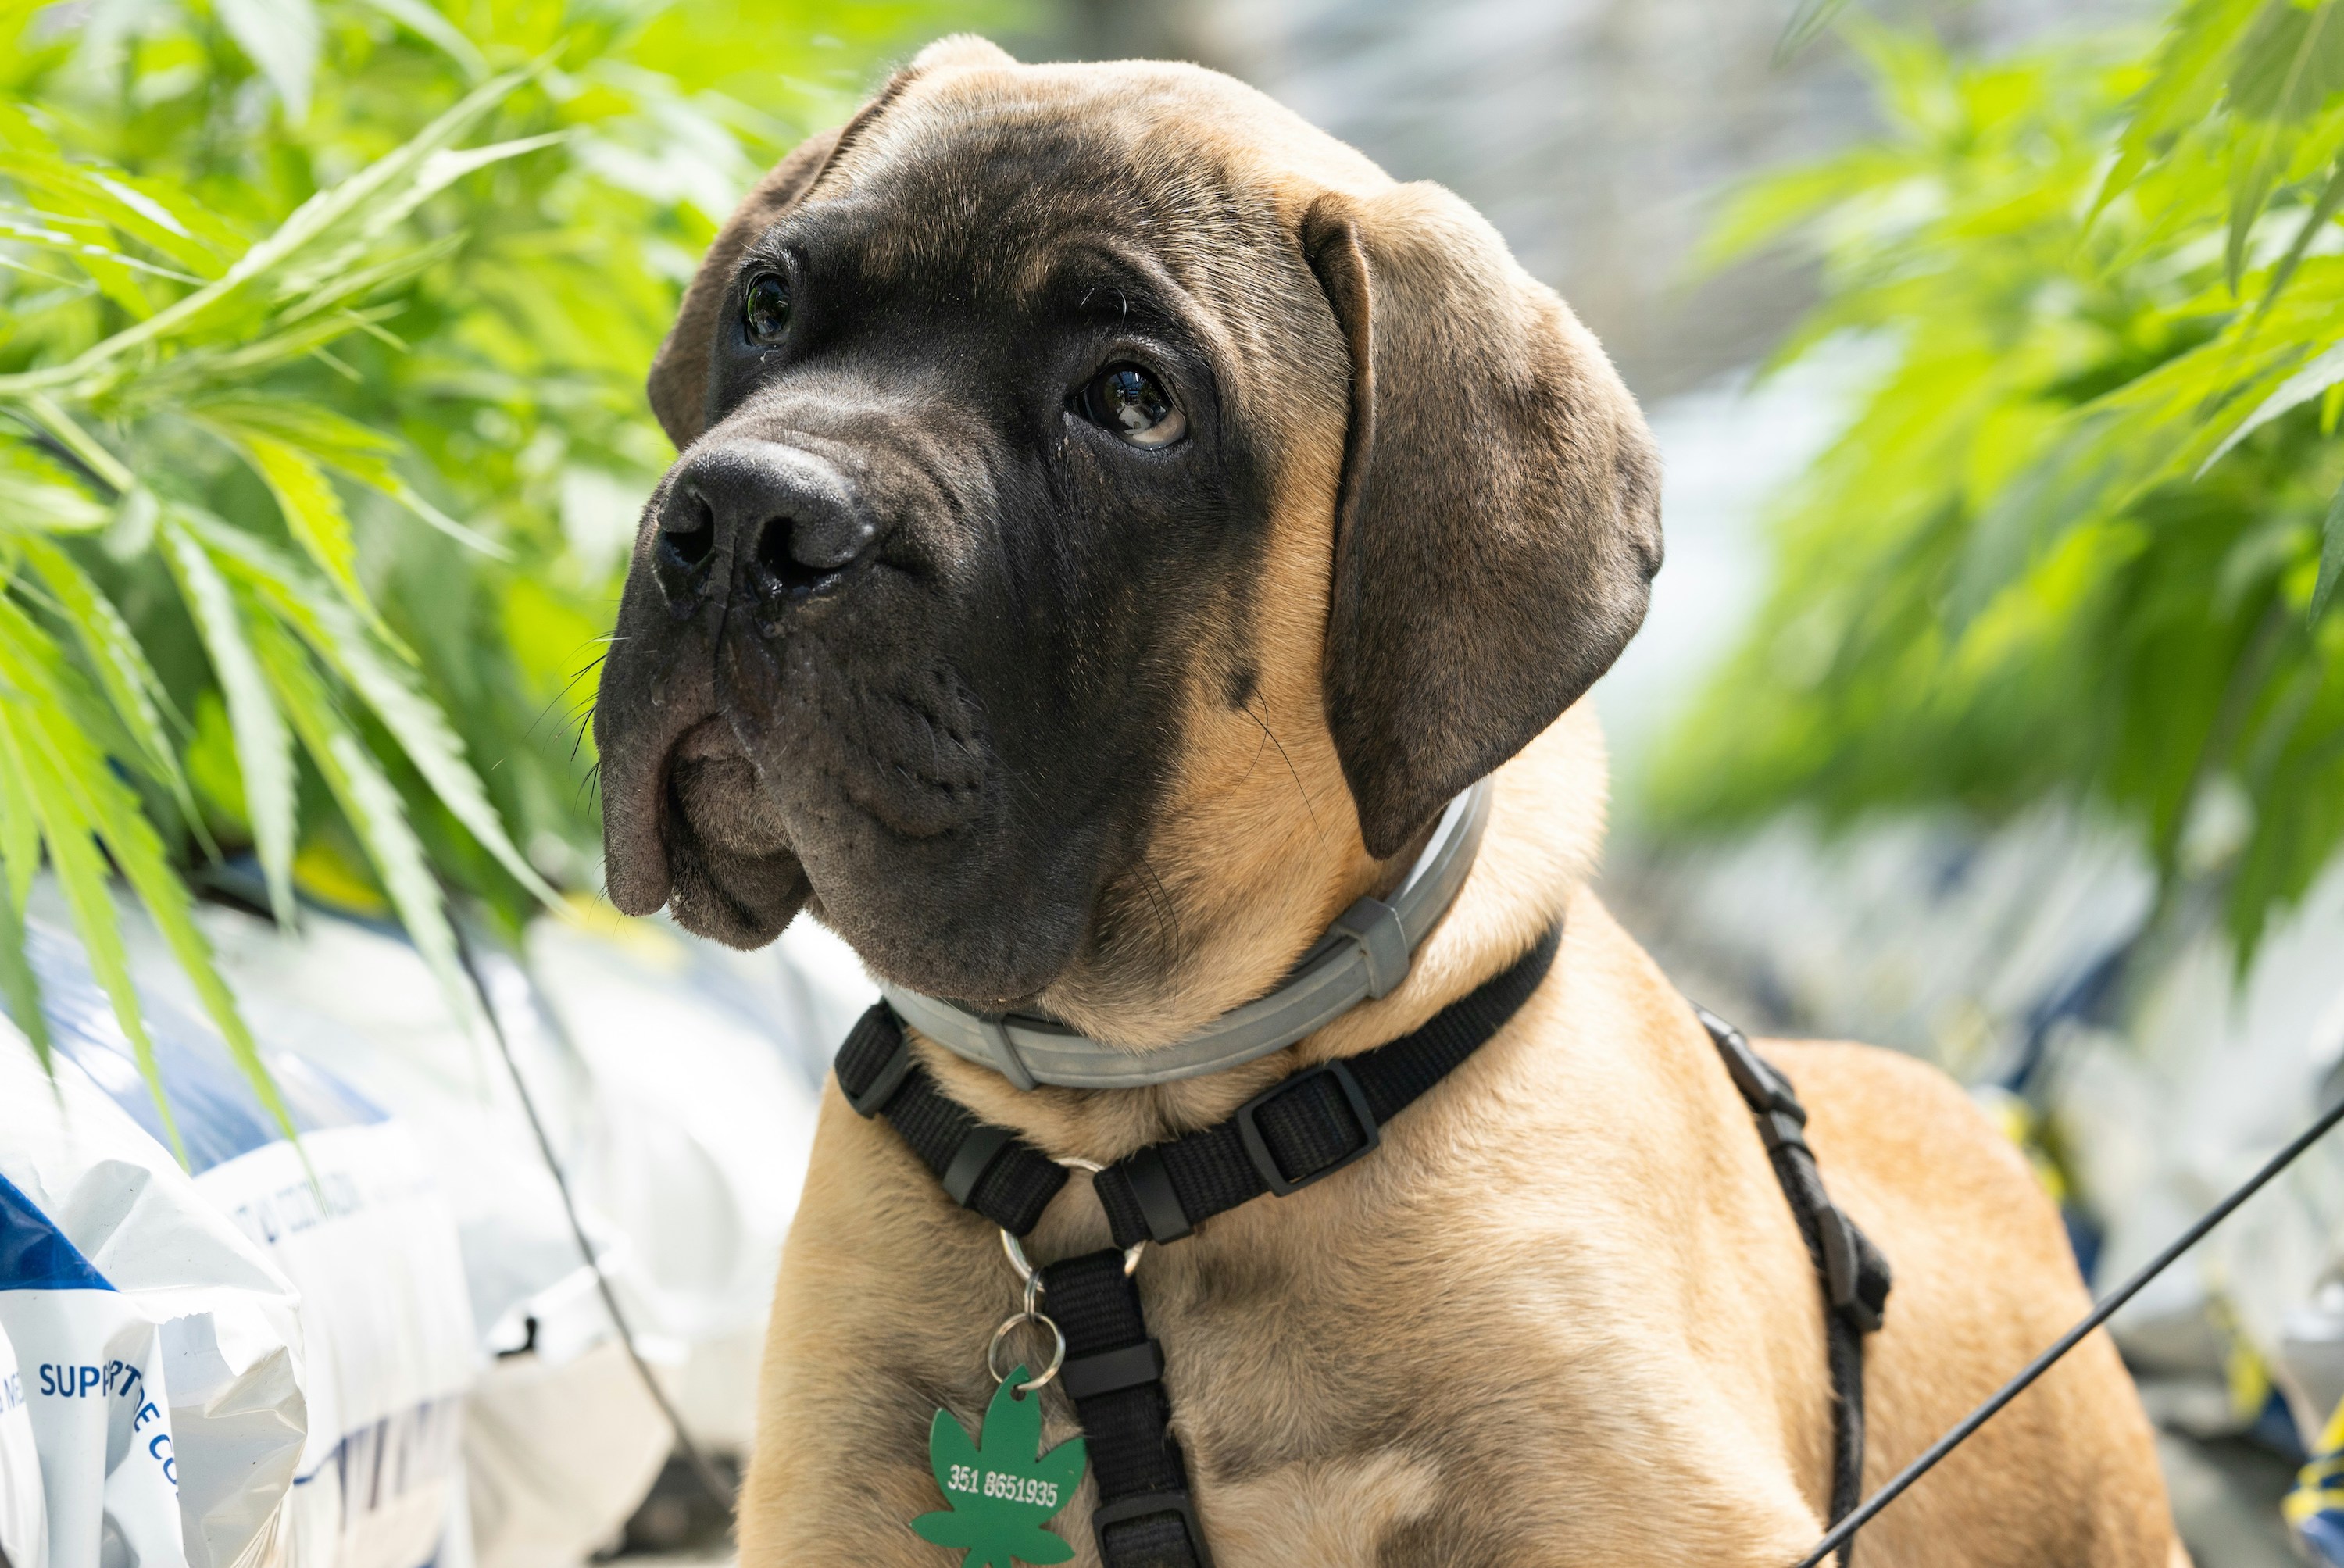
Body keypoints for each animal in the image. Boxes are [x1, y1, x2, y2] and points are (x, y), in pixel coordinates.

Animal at [595, 36, 2185, 1566]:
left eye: (1131, 399)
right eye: (767, 305)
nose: (744, 521)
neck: (1126, 1141)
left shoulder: (1656, 1507)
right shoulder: (832, 1496)